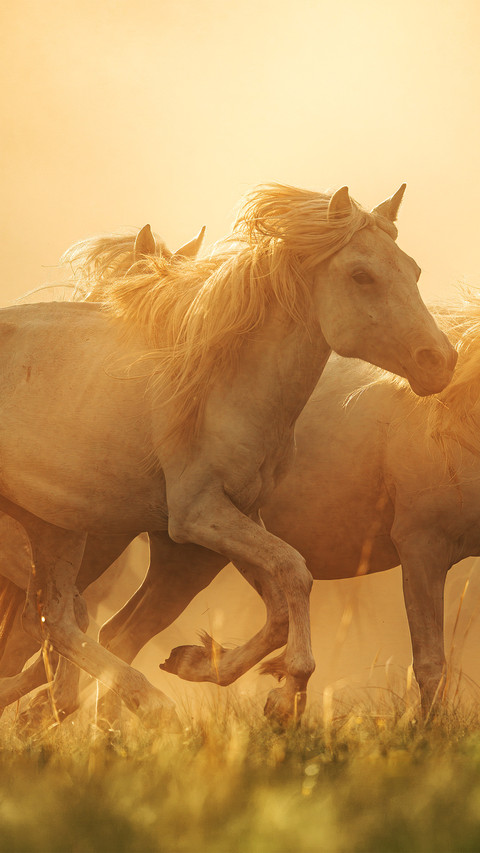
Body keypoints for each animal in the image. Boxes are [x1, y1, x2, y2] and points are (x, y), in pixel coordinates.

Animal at [0, 183, 456, 726]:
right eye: (361, 275)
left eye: (414, 270)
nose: (440, 361)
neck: (221, 387)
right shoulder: (197, 516)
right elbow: (295, 572)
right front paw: (289, 689)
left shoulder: (236, 515)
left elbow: (279, 606)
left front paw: (197, 663)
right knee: (62, 623)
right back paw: (142, 704)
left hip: (57, 525)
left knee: (57, 621)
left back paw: (140, 702)